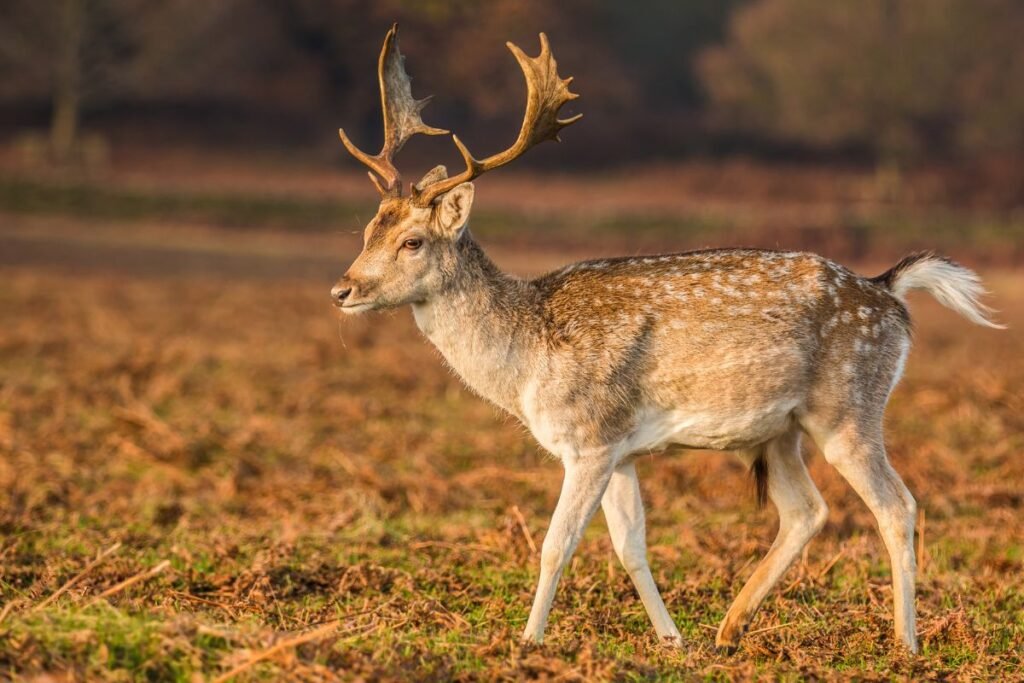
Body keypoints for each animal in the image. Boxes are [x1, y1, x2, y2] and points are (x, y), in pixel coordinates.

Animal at [333, 26, 999, 655]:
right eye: (368, 229)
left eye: (413, 241)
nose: (343, 289)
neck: (527, 363)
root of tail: (890, 289)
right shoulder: (622, 449)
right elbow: (631, 545)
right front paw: (672, 640)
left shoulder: (590, 438)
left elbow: (556, 544)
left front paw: (528, 642)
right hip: (779, 430)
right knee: (807, 511)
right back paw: (729, 628)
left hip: (850, 407)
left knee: (896, 505)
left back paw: (906, 644)